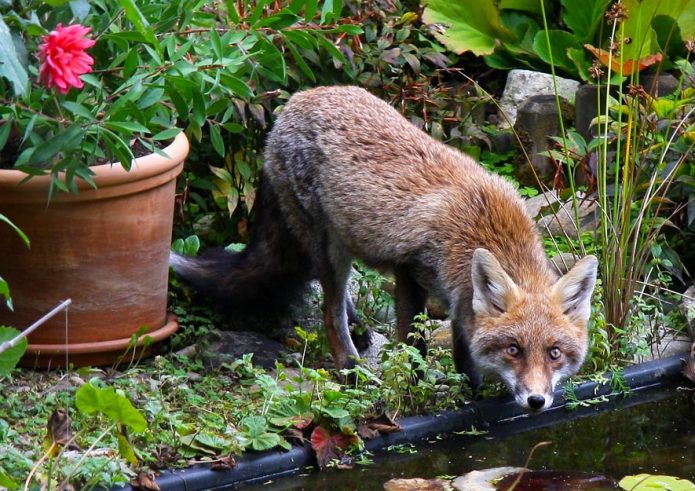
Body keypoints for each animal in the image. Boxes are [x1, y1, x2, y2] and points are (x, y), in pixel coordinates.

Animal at [173, 86, 600, 414]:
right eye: (514, 349)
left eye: (554, 353)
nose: (536, 402)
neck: (486, 227)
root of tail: (296, 100)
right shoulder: (411, 271)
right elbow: (416, 344)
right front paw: (417, 389)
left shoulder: (460, 296)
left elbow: (463, 347)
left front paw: (473, 389)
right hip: (329, 249)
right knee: (329, 312)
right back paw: (352, 370)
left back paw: (360, 330)